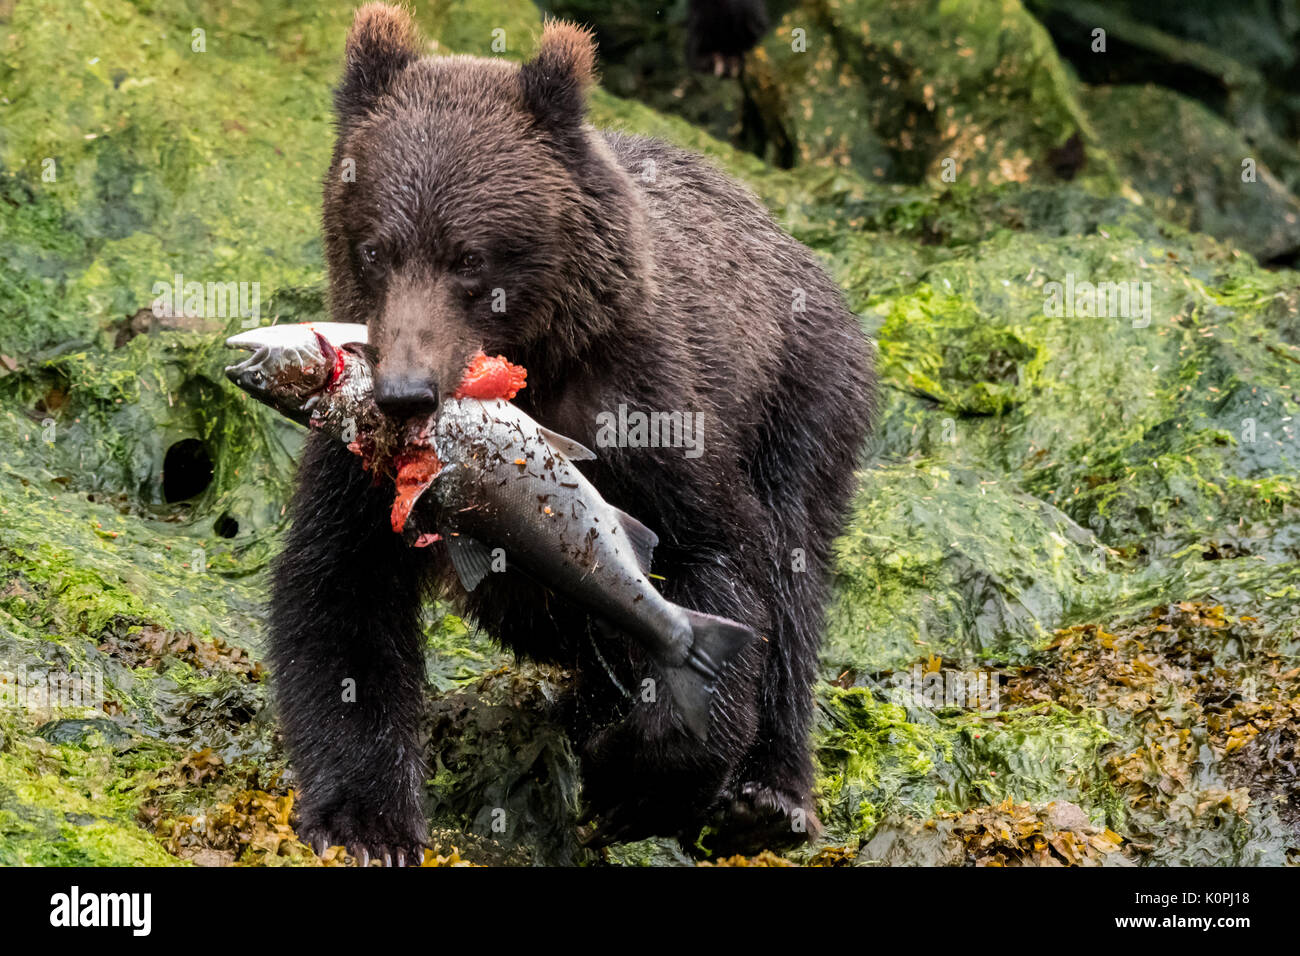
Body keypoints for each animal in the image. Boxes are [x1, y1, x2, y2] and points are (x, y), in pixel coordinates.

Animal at [263, 1, 873, 868]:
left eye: (470, 257)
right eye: (375, 248)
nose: (406, 393)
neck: (532, 373)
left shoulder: (646, 404)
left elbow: (719, 555)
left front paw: (642, 774)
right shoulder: (360, 460)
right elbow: (340, 593)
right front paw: (365, 822)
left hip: (804, 392)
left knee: (794, 564)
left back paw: (767, 792)